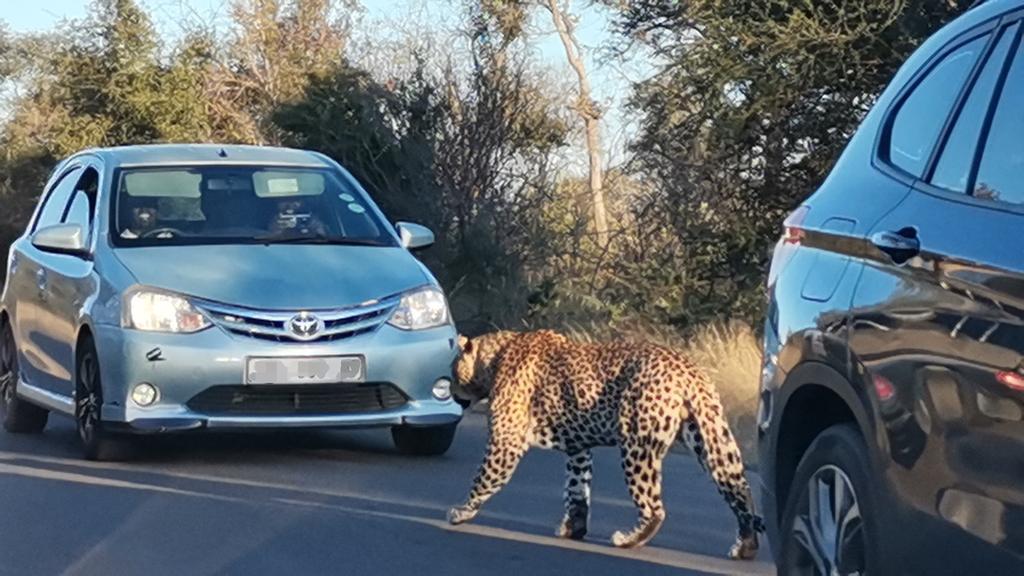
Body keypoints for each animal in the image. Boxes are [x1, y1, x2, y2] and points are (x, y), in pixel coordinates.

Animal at [446, 329, 763, 560]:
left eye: (452, 369)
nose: (449, 388)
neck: (494, 358)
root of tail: (687, 370)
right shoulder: (578, 449)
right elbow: (576, 488)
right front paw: (574, 527)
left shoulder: (506, 441)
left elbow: (484, 478)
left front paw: (462, 512)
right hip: (710, 436)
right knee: (740, 490)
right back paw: (745, 546)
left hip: (637, 444)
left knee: (654, 506)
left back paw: (629, 539)